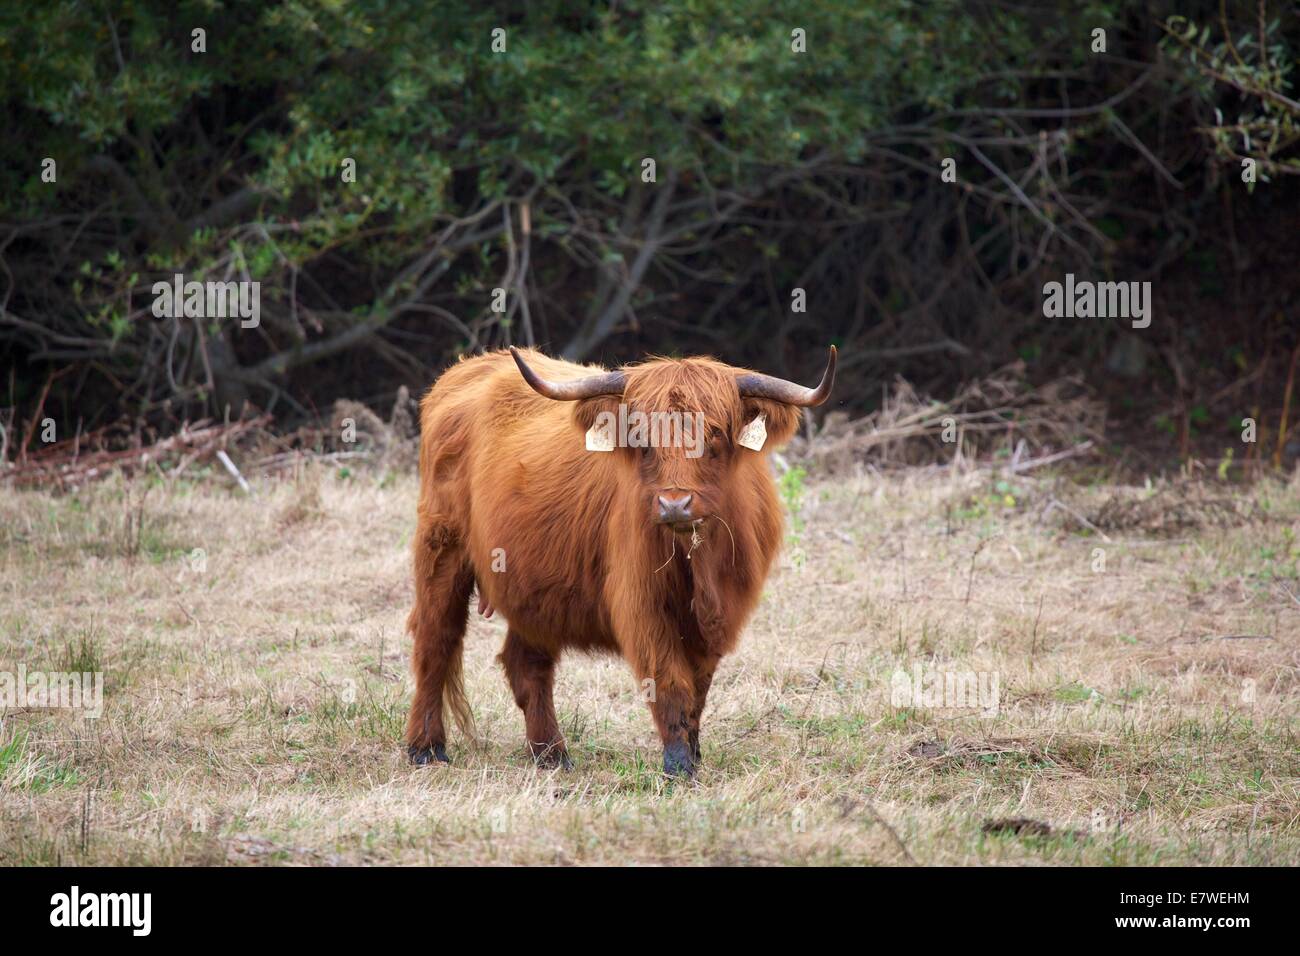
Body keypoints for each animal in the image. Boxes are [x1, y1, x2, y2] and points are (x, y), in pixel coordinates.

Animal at [404, 344, 836, 776]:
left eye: (714, 433)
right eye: (641, 437)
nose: (674, 503)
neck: (697, 561)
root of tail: (468, 368)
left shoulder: (720, 613)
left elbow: (699, 685)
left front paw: (694, 752)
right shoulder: (643, 604)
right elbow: (668, 680)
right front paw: (678, 764)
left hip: (532, 585)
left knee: (526, 663)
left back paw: (551, 754)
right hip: (441, 548)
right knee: (435, 640)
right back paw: (426, 747)